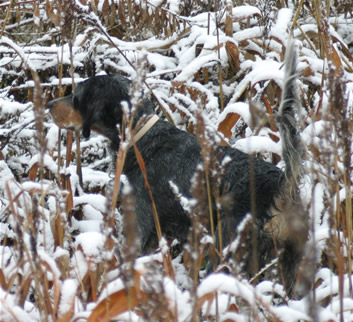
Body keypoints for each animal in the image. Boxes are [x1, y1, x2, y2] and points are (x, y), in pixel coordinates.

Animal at [47, 42, 308, 294]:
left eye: (76, 96)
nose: (49, 104)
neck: (140, 136)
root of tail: (279, 185)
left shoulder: (141, 224)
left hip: (227, 249)